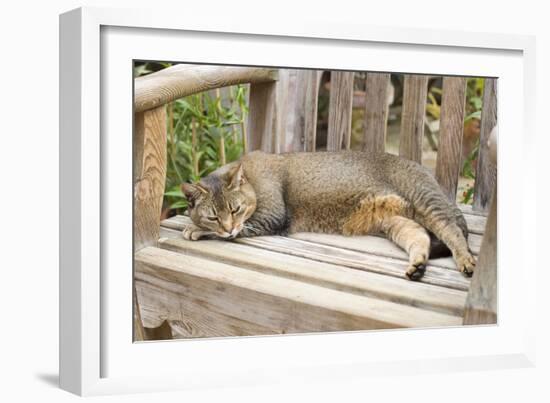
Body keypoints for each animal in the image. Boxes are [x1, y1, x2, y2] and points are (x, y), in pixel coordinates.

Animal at [183, 152, 476, 280]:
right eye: (214, 216)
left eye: (235, 209)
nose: (227, 226)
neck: (252, 179)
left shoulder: (272, 216)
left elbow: (237, 231)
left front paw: (195, 229)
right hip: (396, 221)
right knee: (420, 236)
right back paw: (417, 266)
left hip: (425, 200)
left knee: (452, 231)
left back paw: (466, 261)